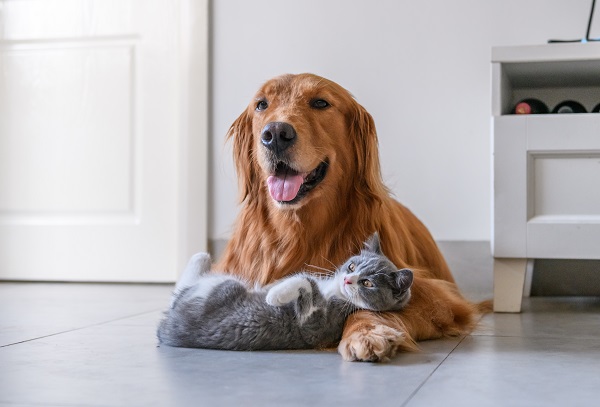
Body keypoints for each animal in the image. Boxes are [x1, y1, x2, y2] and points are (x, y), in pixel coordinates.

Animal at [156, 234, 412, 352]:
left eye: (367, 283)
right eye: (351, 267)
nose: (348, 280)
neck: (335, 291)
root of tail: (165, 329)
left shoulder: (317, 323)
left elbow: (305, 282)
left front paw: (274, 296)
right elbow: (302, 276)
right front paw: (274, 286)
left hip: (223, 288)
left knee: (182, 293)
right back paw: (202, 256)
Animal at [216, 73, 488, 364]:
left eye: (320, 102)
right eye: (261, 105)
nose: (276, 134)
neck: (298, 232)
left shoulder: (440, 298)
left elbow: (369, 304)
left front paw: (367, 333)